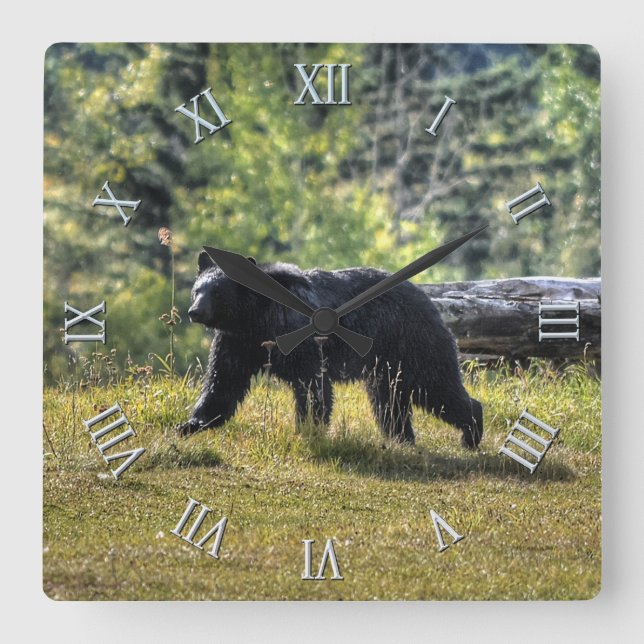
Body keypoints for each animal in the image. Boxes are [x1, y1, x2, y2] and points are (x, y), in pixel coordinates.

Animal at [176, 250, 483, 448]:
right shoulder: (237, 343)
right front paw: (190, 424)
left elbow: (312, 384)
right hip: (386, 363)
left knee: (436, 387)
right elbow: (222, 382)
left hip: (413, 345)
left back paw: (471, 432)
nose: (194, 311)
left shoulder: (299, 339)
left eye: (217, 292)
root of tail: (429, 299)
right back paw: (401, 438)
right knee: (390, 400)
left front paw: (308, 429)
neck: (255, 318)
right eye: (197, 290)